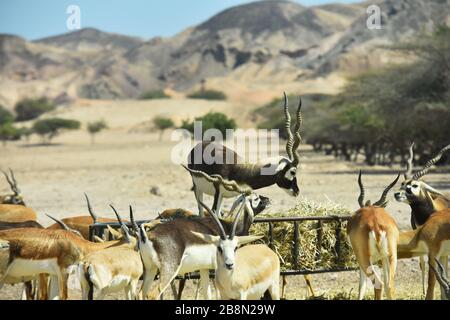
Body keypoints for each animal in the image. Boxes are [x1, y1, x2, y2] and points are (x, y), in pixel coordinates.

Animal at [135, 182, 268, 300]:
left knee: (140, 294)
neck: (227, 226)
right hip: (169, 270)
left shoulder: (204, 268)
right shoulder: (218, 268)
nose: (268, 200)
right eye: (256, 198)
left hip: (150, 269)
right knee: (152, 295)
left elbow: (207, 294)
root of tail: (147, 235)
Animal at [346, 172, 400, 300]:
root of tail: (375, 224)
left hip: (364, 259)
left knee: (379, 284)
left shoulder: (361, 260)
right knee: (389, 285)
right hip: (391, 257)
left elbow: (362, 286)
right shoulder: (383, 259)